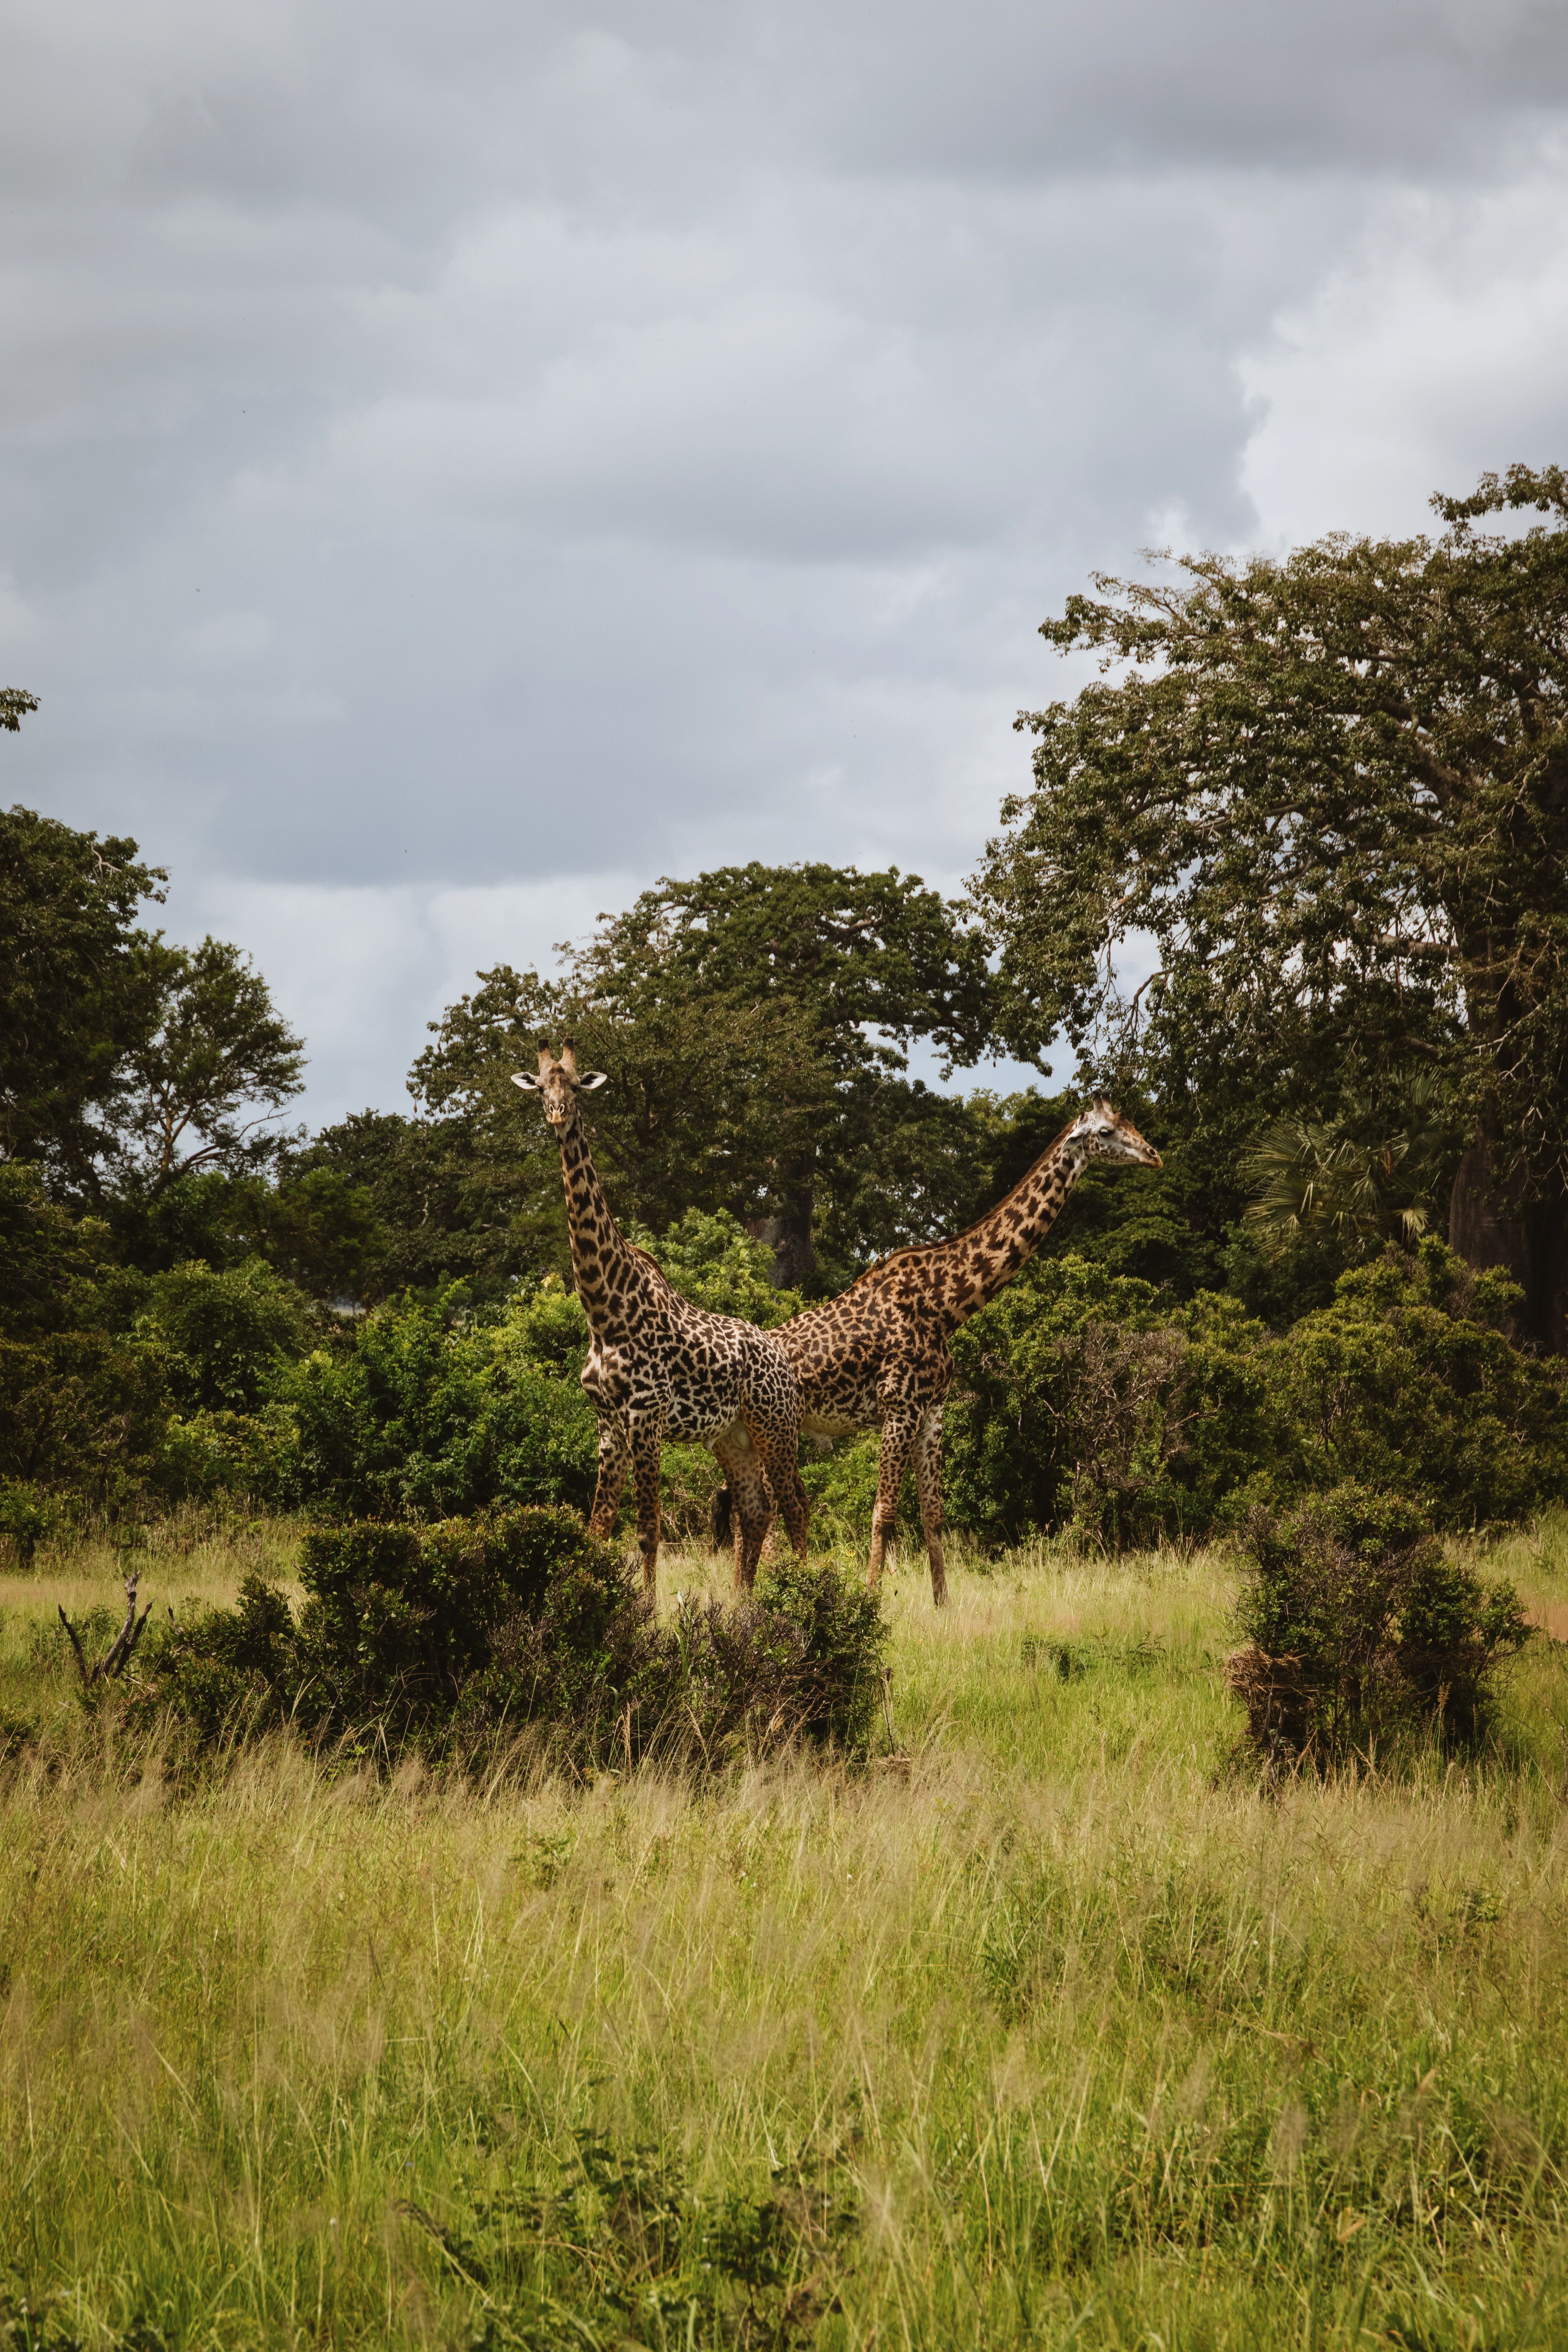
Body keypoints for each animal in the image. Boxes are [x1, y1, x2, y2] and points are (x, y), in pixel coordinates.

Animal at [512, 1041, 811, 1596]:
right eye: (541, 1087)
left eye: (576, 1086)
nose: (558, 1115)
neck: (603, 1310)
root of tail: (784, 1358)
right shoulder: (608, 1424)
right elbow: (598, 1528)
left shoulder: (645, 1417)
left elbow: (647, 1530)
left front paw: (648, 1609)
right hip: (731, 1436)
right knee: (757, 1510)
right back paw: (742, 1603)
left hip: (775, 1426)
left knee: (795, 1506)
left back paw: (805, 1593)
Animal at [713, 1101, 1160, 1605]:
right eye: (1106, 1132)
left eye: (1131, 1124)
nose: (1154, 1155)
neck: (948, 1305)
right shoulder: (899, 1405)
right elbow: (885, 1511)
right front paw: (869, 1599)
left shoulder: (933, 1409)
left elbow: (934, 1515)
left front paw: (942, 1605)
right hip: (774, 1432)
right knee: (763, 1513)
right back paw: (766, 1594)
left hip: (758, 1436)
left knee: (749, 1511)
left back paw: (747, 1594)